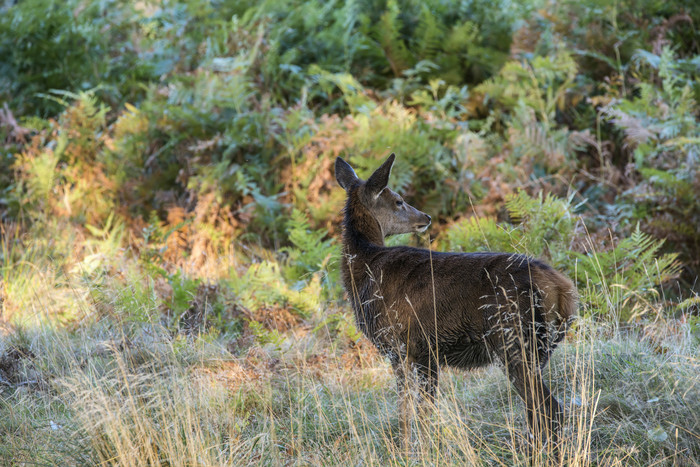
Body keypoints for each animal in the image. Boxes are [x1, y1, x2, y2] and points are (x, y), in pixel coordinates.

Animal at [336, 154, 576, 458]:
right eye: (399, 201)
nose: (425, 217)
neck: (363, 272)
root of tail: (562, 289)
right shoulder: (426, 352)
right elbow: (423, 409)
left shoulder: (400, 344)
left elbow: (406, 410)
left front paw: (408, 452)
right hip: (536, 347)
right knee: (538, 410)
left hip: (514, 340)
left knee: (548, 408)